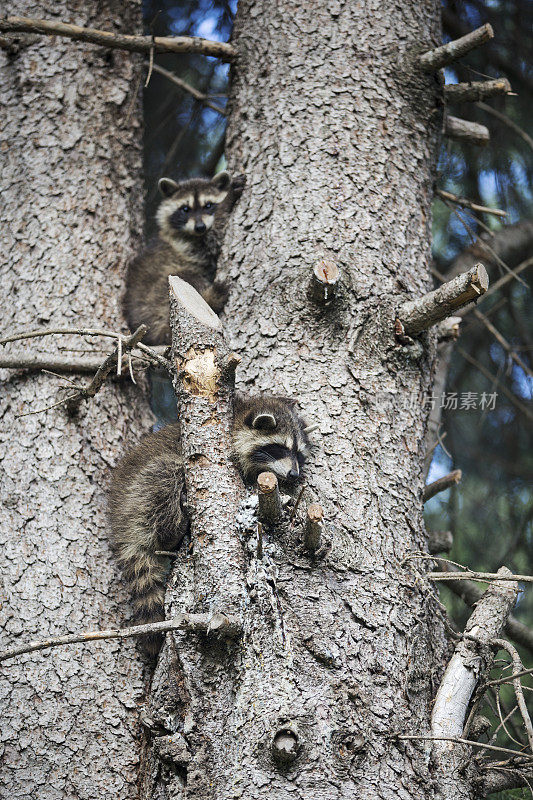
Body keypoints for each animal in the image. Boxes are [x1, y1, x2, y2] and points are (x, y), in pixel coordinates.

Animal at [107, 392, 308, 648]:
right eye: (279, 448)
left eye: (298, 454)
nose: (294, 474)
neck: (239, 416)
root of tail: (120, 521)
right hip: (142, 488)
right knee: (167, 473)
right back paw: (171, 530)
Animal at [123, 172, 244, 346]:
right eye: (185, 209)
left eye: (208, 205)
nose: (200, 227)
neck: (193, 233)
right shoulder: (186, 244)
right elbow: (213, 238)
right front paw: (227, 201)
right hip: (159, 294)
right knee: (189, 278)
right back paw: (211, 297)